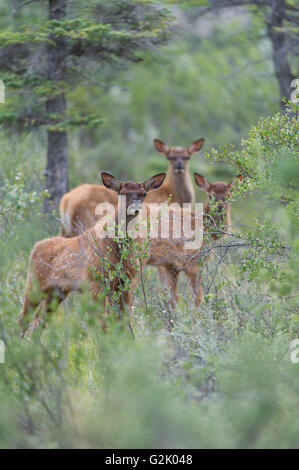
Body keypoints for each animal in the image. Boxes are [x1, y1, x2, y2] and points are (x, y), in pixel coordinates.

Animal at [19, 172, 166, 334]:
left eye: (144, 193)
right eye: (122, 193)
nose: (135, 207)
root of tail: (34, 247)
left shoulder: (126, 282)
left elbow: (122, 320)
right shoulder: (95, 283)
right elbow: (102, 323)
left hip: (57, 291)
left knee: (39, 321)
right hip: (35, 283)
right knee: (23, 318)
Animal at [58, 138, 204, 237]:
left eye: (187, 157)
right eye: (170, 157)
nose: (179, 165)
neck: (174, 195)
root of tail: (66, 201)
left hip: (65, 229)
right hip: (84, 223)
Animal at [148, 173, 244, 304]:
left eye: (228, 195)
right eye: (211, 195)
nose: (219, 207)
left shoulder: (171, 266)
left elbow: (173, 299)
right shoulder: (193, 262)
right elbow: (199, 299)